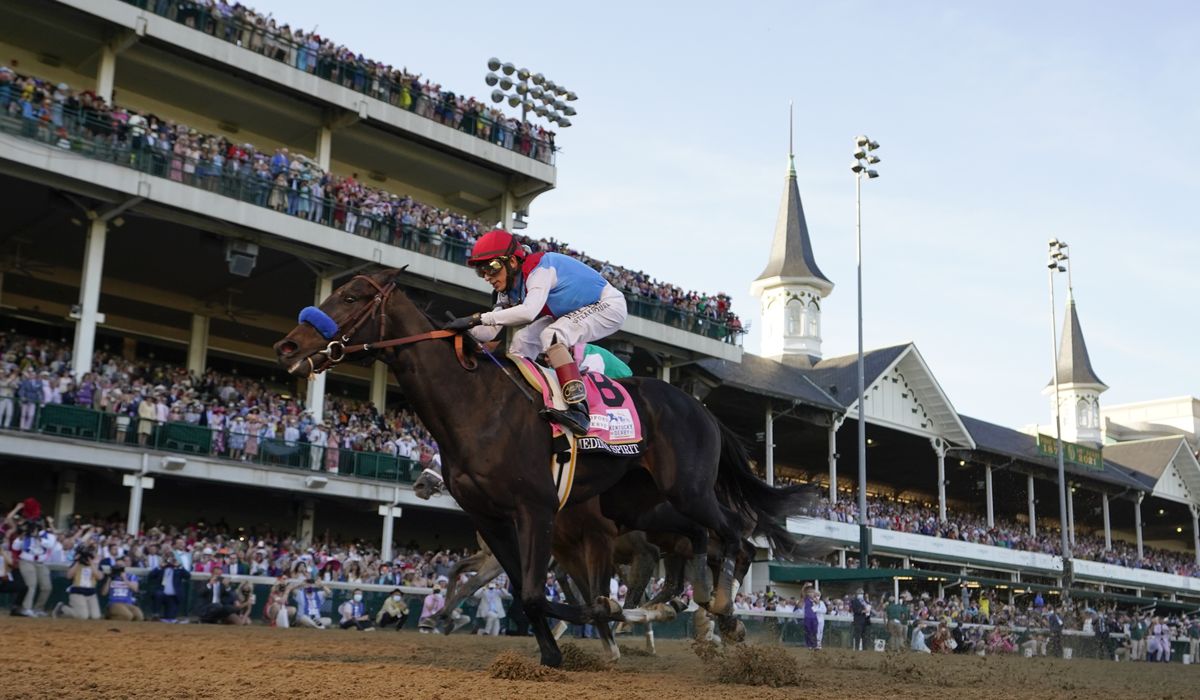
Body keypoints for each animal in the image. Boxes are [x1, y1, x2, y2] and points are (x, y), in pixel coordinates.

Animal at [276, 270, 811, 667]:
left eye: (350, 296)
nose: (288, 347)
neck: (476, 404)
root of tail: (701, 409)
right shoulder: (496, 520)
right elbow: (521, 590)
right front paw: (556, 648)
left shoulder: (537, 510)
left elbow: (538, 594)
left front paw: (593, 624)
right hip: (638, 504)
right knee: (699, 542)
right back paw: (698, 610)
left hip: (688, 489)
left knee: (737, 536)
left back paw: (723, 611)